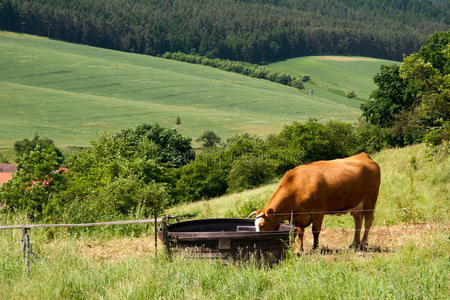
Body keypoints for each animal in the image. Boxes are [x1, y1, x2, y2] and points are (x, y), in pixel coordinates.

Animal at [250, 154, 380, 252]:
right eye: (255, 225)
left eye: (262, 225)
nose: (257, 237)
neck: (297, 187)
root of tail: (364, 156)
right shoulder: (298, 216)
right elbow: (300, 232)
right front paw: (299, 249)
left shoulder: (318, 212)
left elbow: (315, 231)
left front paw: (315, 248)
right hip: (356, 204)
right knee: (358, 221)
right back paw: (354, 244)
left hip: (370, 201)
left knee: (368, 221)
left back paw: (363, 244)